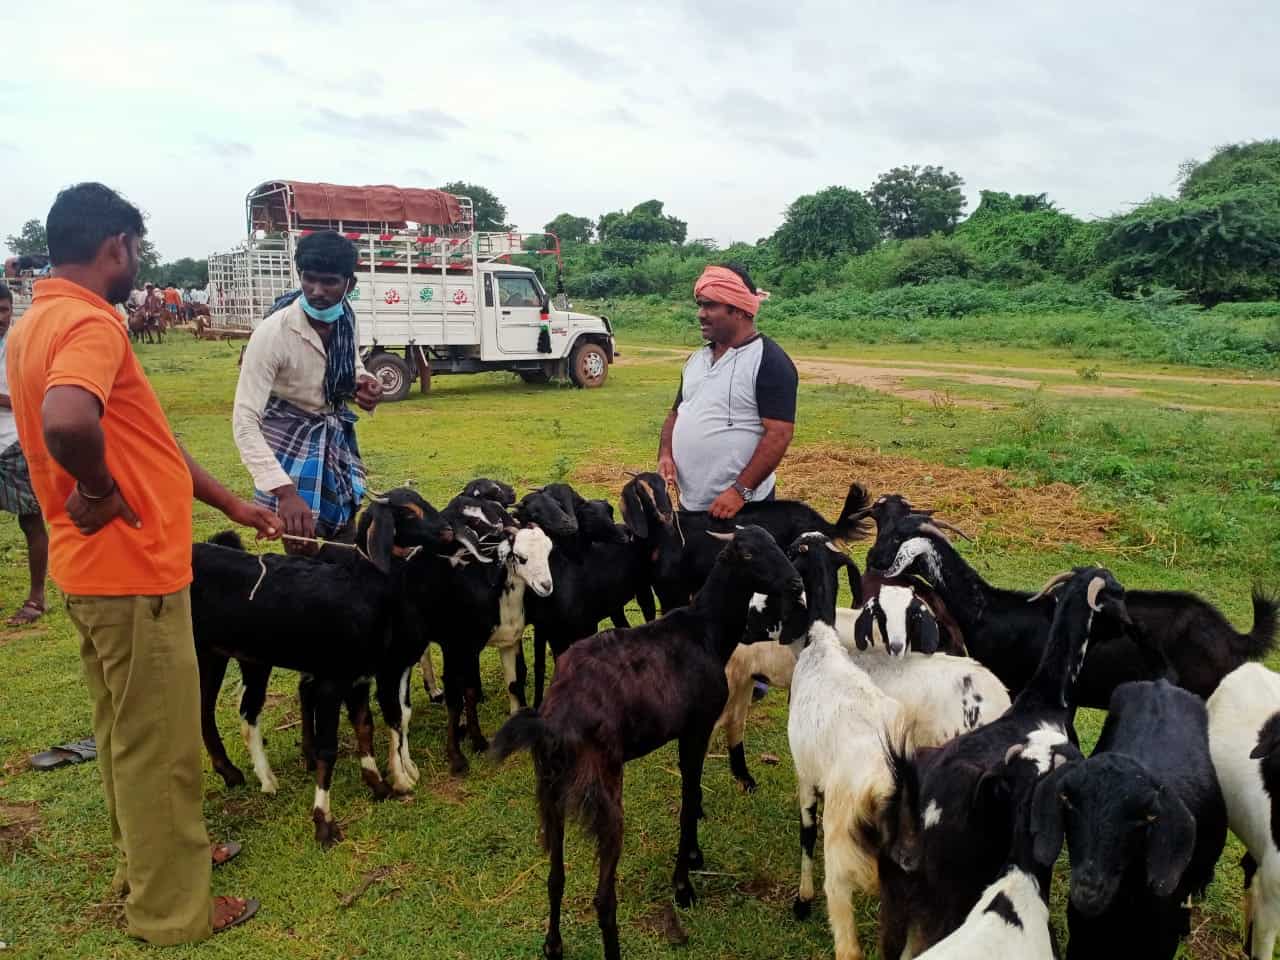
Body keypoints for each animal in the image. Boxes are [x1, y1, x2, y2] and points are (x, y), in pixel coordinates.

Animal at [488, 527, 798, 960]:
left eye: (775, 543)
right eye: (750, 553)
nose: (796, 583)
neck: (705, 630)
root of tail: (553, 720)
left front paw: (694, 856)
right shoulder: (697, 726)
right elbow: (688, 797)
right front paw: (684, 884)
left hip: (551, 790)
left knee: (555, 874)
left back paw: (553, 944)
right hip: (603, 790)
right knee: (603, 896)